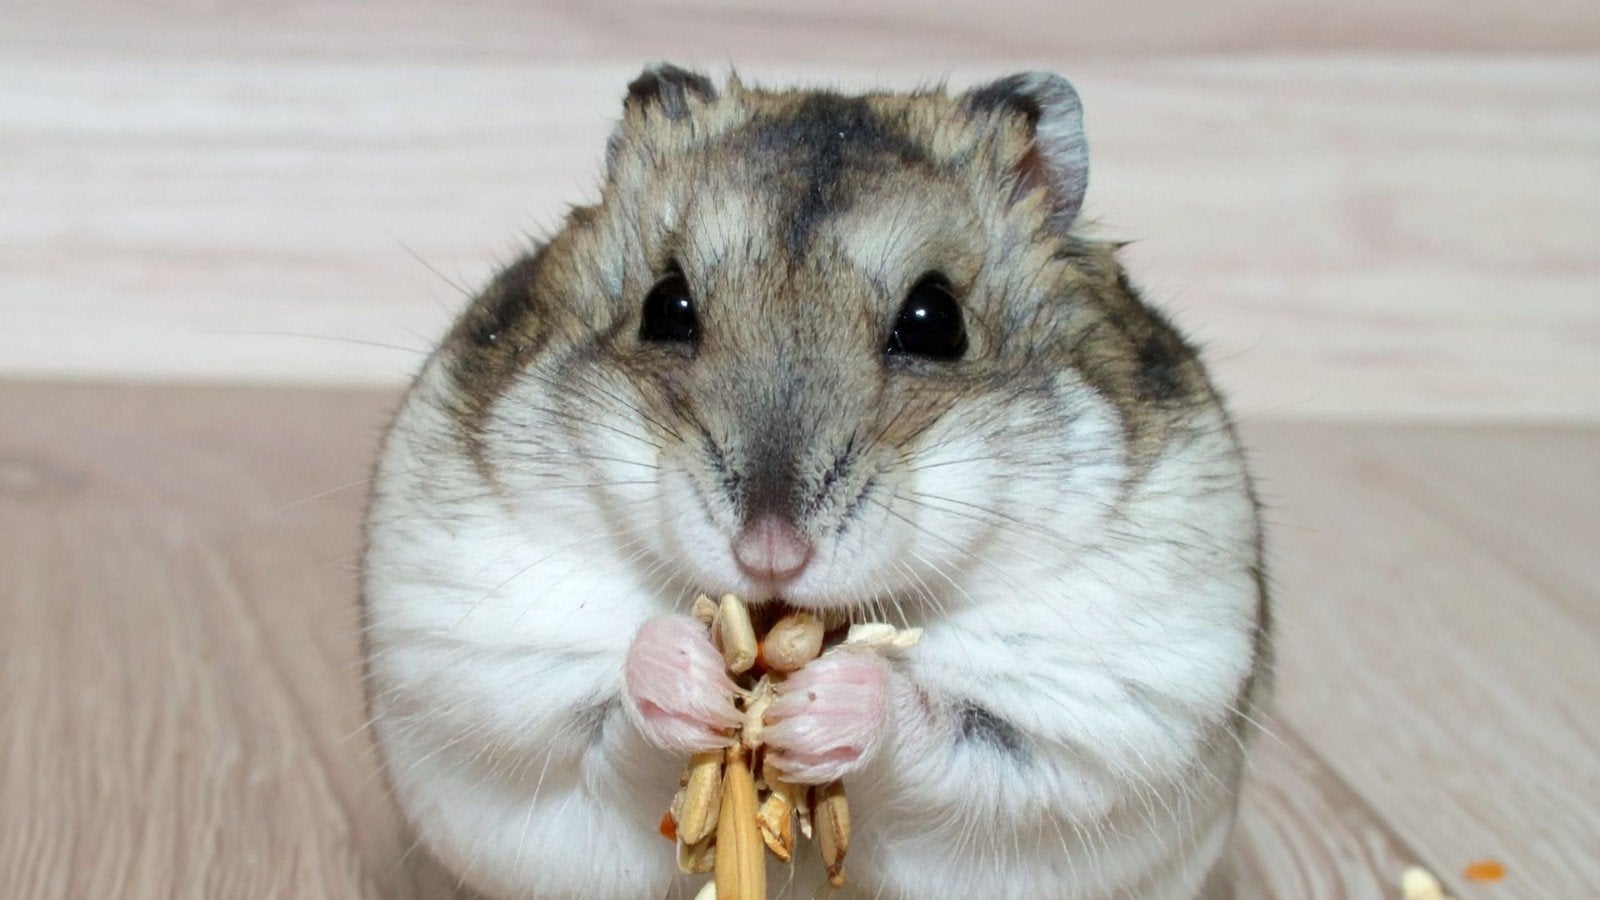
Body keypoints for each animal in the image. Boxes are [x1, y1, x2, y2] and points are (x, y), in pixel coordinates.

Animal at [362, 64, 1269, 899]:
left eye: (936, 323)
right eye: (666, 307)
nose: (769, 553)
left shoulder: (1097, 709)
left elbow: (945, 723)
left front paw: (818, 709)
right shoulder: (476, 648)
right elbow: (602, 705)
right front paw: (691, 681)